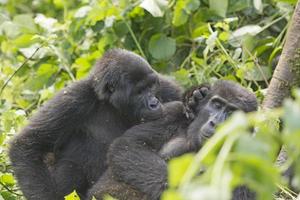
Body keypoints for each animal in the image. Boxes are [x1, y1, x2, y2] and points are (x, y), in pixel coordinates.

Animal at [8, 48, 183, 200]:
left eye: (151, 87)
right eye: (139, 92)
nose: (154, 103)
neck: (112, 104)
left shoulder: (167, 88)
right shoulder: (73, 99)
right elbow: (27, 145)